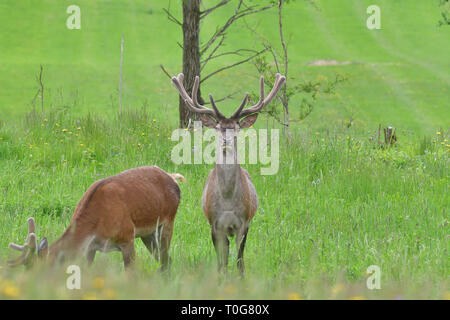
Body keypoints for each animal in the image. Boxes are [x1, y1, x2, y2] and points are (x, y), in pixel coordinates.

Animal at [7, 166, 184, 272]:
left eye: (41, 270)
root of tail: (173, 177)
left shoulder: (127, 237)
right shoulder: (90, 248)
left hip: (169, 220)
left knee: (166, 260)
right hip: (148, 233)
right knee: (166, 260)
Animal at [171, 72, 286, 276]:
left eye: (236, 128)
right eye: (219, 127)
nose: (226, 140)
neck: (227, 201)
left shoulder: (244, 222)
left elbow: (240, 261)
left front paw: (241, 278)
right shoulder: (215, 223)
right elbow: (221, 261)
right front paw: (221, 278)